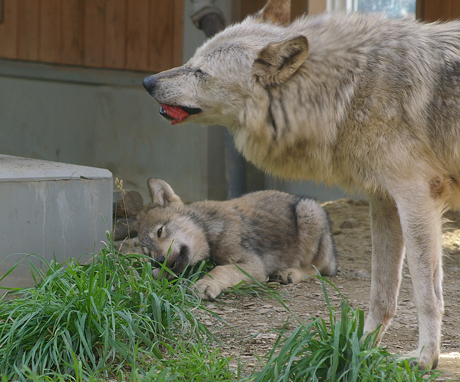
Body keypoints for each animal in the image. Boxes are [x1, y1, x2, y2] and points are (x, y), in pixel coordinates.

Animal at [138, 179, 336, 302]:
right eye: (148, 253)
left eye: (160, 231)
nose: (158, 261)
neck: (208, 229)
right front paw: (156, 274)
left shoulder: (254, 266)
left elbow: (220, 269)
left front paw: (205, 284)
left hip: (307, 211)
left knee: (318, 268)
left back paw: (290, 272)